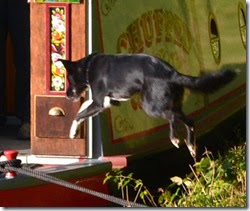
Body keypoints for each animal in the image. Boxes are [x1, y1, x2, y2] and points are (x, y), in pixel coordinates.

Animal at [60, 52, 236, 158]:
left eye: (69, 79)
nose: (67, 95)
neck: (89, 67)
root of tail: (172, 73)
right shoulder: (106, 101)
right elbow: (83, 106)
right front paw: (74, 131)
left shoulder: (98, 103)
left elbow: (79, 114)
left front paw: (72, 132)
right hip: (171, 104)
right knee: (189, 120)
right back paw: (191, 145)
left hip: (150, 106)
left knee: (172, 117)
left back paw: (174, 139)